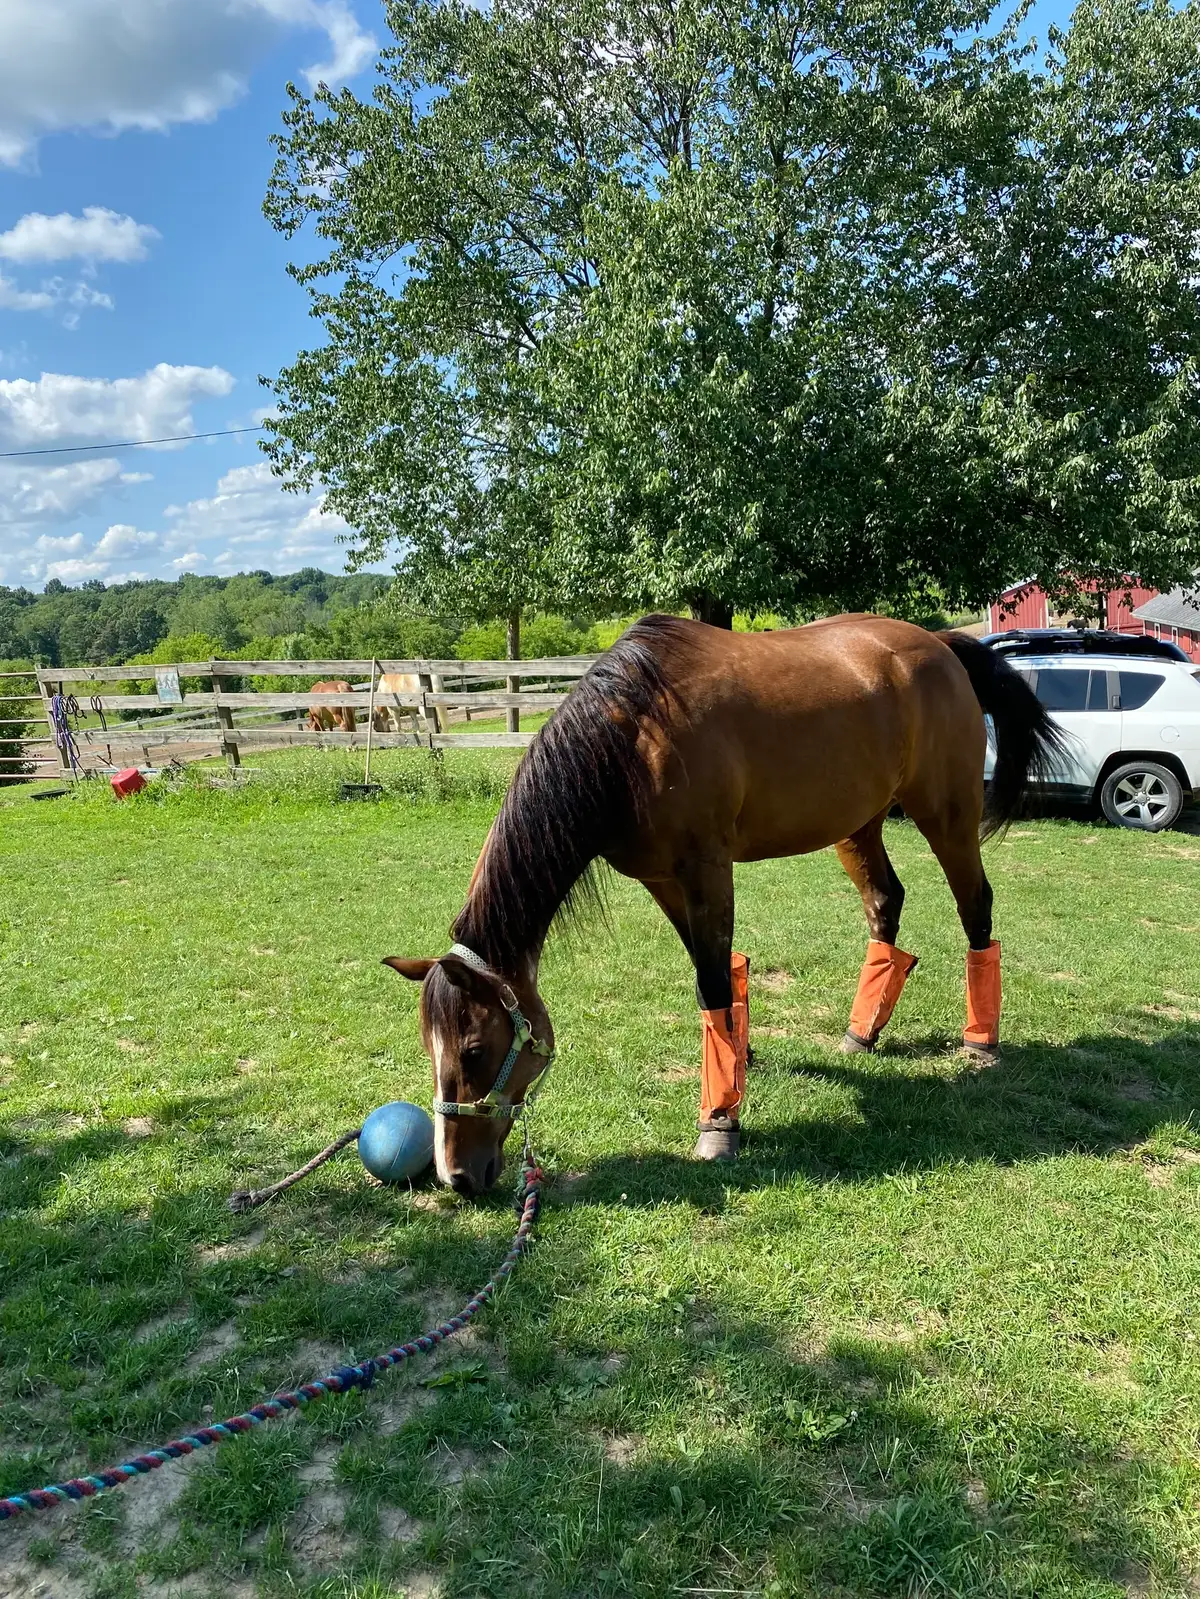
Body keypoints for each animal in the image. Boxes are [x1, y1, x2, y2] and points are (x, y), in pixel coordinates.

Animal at [383, 613, 1063, 1196]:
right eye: (429, 1047)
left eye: (474, 1050)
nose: (456, 1176)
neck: (634, 735)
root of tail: (940, 645)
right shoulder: (662, 880)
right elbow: (715, 970)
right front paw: (739, 1064)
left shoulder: (706, 869)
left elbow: (711, 981)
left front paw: (719, 1122)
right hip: (859, 825)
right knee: (884, 902)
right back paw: (861, 1033)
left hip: (946, 816)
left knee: (976, 908)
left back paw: (980, 1043)